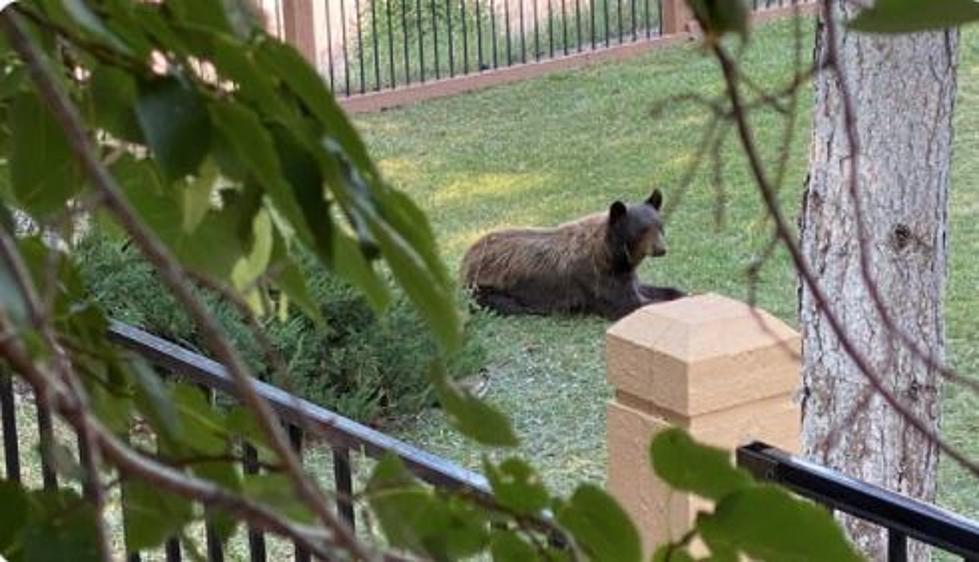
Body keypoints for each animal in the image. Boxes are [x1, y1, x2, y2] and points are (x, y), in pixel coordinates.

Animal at [462, 189, 684, 318]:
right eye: (641, 230)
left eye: (659, 225)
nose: (661, 249)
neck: (611, 255)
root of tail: (467, 255)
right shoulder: (596, 279)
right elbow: (630, 304)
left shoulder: (624, 275)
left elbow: (650, 289)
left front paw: (680, 293)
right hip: (487, 285)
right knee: (503, 304)